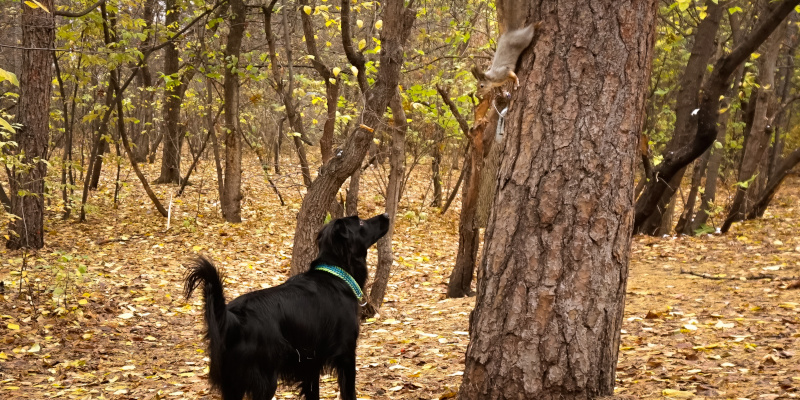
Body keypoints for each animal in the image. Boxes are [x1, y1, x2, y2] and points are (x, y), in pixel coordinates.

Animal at [185, 214, 390, 400]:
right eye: (360, 222)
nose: (386, 215)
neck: (336, 275)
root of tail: (232, 317)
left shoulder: (310, 364)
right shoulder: (346, 355)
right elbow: (349, 393)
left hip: (233, 386)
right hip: (265, 381)